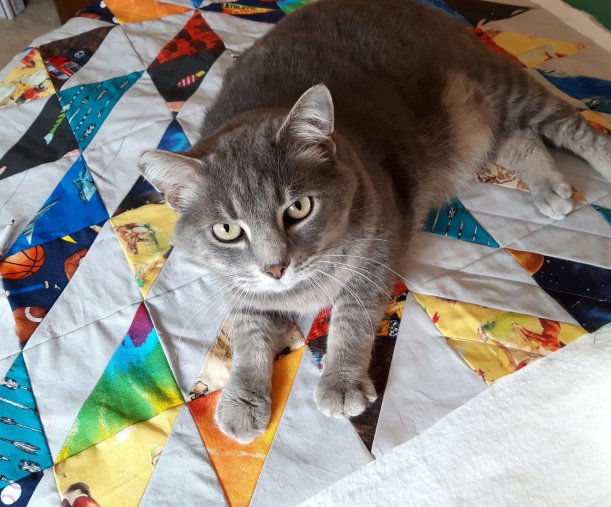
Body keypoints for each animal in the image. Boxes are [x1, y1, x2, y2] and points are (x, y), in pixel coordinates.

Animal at [138, 0, 611, 443]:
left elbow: (351, 318)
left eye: (299, 208)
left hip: (503, 86)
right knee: (520, 139)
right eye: (227, 231)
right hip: (479, 125)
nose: (275, 268)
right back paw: (550, 186)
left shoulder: (375, 258)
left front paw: (341, 381)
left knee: (570, 126)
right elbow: (247, 331)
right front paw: (242, 399)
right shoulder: (239, 288)